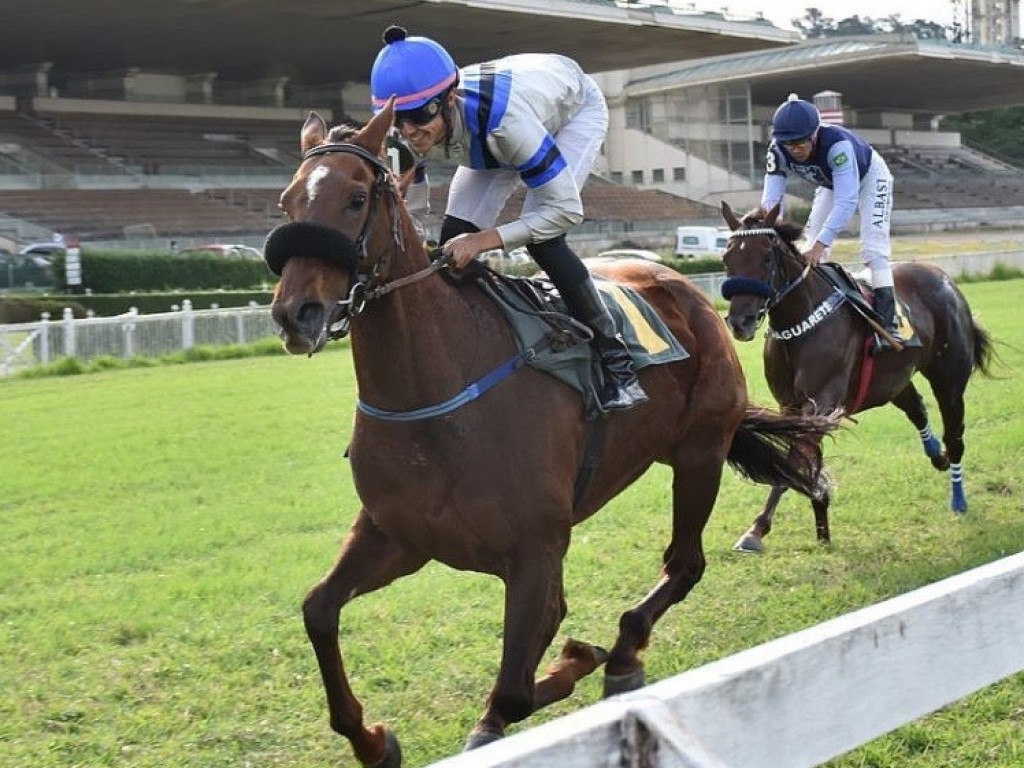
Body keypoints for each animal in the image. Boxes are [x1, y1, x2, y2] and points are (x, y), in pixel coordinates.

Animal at [268, 103, 835, 768]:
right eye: (286, 202)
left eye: (356, 198)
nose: (294, 313)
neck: (437, 399)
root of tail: (687, 289)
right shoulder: (398, 534)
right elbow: (319, 610)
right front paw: (374, 739)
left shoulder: (536, 550)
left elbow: (517, 684)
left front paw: (576, 657)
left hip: (700, 454)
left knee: (686, 564)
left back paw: (623, 651)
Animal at [720, 202, 991, 552]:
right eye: (727, 258)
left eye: (766, 257)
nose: (740, 321)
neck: (801, 323)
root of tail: (945, 279)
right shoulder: (791, 406)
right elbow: (803, 461)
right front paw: (820, 523)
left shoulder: (821, 402)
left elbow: (794, 463)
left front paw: (757, 530)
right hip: (892, 380)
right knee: (917, 408)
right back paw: (936, 455)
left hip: (949, 379)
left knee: (955, 437)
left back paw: (958, 498)